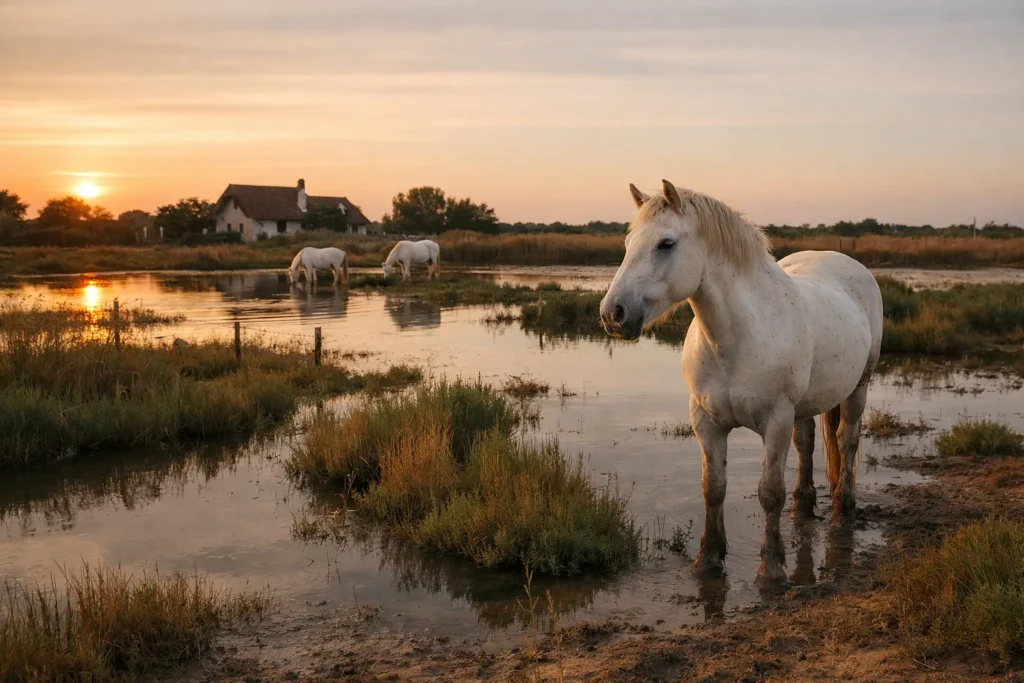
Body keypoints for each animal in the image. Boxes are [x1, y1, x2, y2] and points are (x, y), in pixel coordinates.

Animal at [599, 180, 882, 583]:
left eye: (666, 243)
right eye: (628, 243)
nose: (613, 314)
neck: (734, 339)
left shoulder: (776, 421)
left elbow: (770, 493)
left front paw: (772, 568)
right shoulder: (706, 422)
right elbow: (713, 488)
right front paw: (708, 560)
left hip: (859, 386)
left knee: (847, 442)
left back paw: (844, 511)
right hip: (805, 406)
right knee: (808, 443)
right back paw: (804, 506)